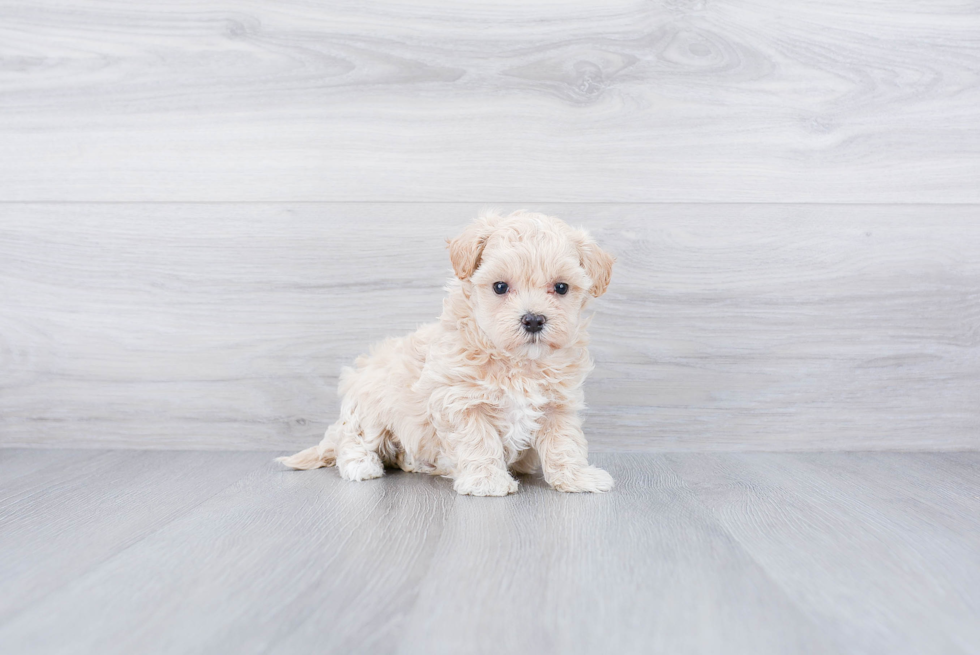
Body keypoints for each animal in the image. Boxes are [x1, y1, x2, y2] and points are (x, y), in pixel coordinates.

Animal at [276, 210, 612, 498]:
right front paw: (487, 481)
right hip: (371, 405)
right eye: (500, 287)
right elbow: (479, 440)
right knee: (349, 438)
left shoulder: (559, 406)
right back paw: (361, 464)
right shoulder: (460, 401)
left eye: (562, 287)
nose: (533, 320)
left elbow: (565, 443)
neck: (518, 362)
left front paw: (578, 477)